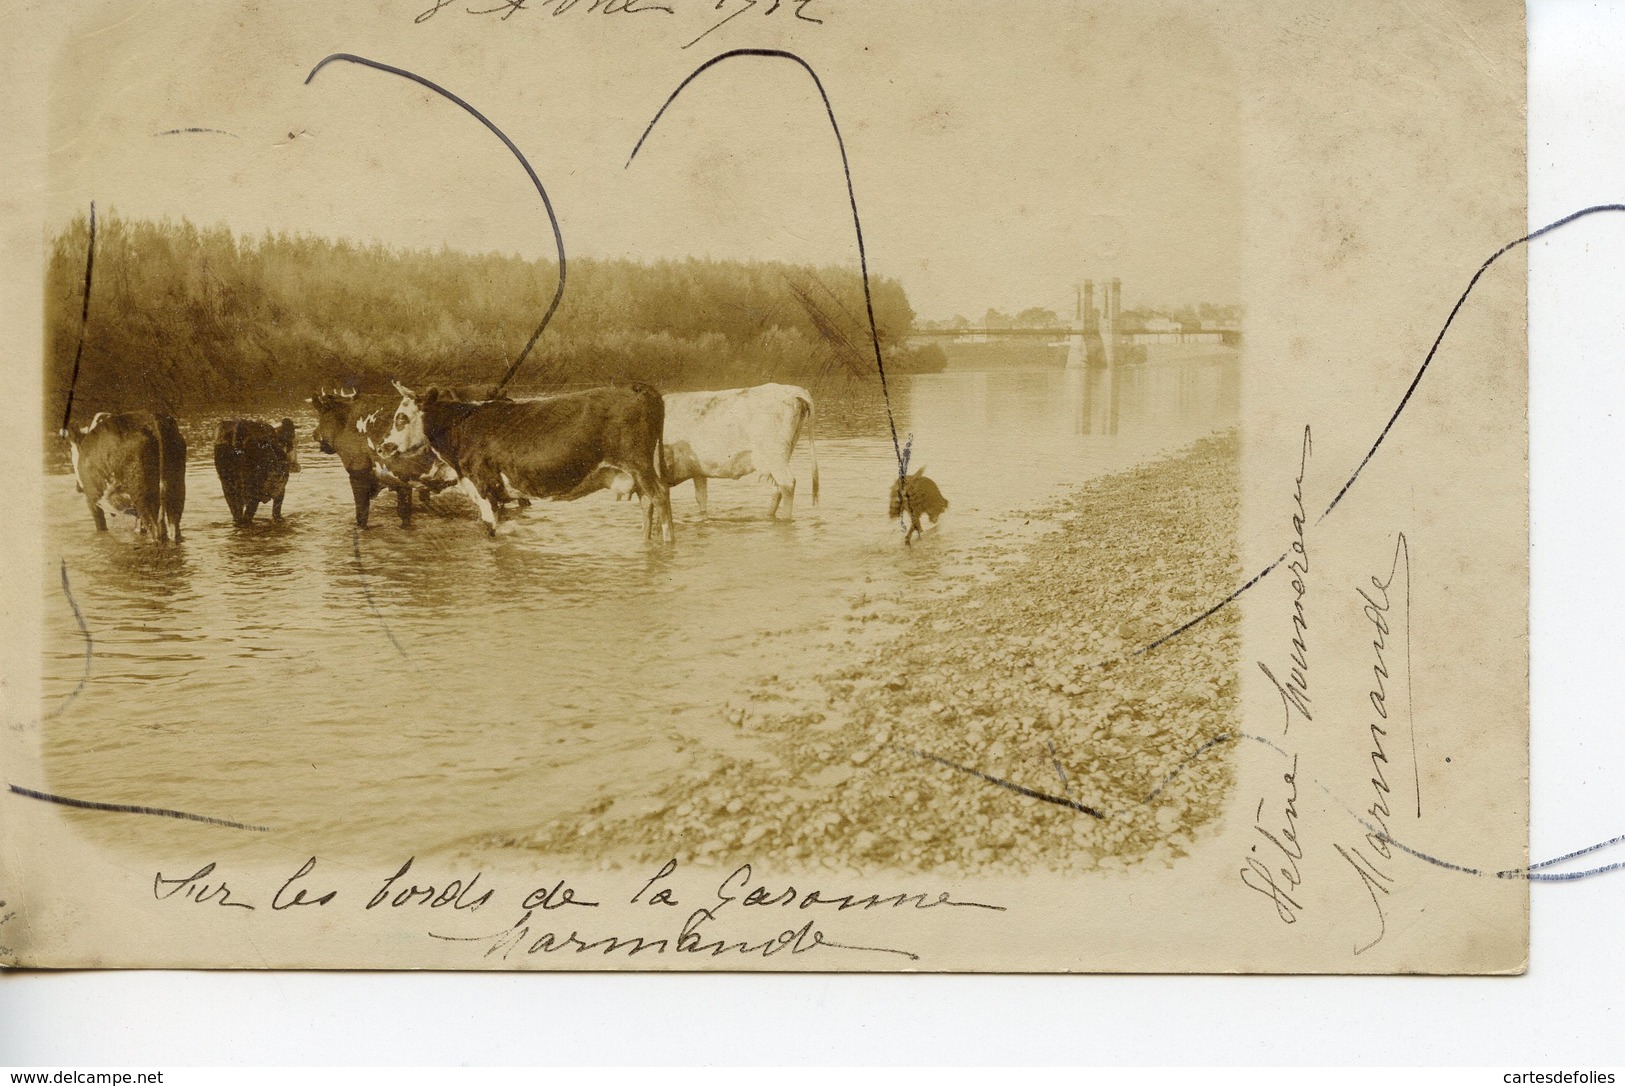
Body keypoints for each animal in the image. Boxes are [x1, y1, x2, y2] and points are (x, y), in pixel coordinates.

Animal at [62, 406, 187, 543]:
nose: (78, 488)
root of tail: (151, 420)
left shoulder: (91, 499)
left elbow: (101, 527)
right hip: (175, 488)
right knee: (174, 528)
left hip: (143, 495)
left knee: (156, 531)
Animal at [380, 380, 672, 539]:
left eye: (401, 418)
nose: (383, 447)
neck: (462, 426)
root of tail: (637, 387)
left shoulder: (485, 488)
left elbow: (490, 531)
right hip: (639, 471)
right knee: (648, 502)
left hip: (639, 463)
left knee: (660, 497)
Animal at [617, 383, 825, 520]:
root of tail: (791, 389)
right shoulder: (698, 470)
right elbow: (701, 498)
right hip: (780, 456)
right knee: (777, 488)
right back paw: (768, 516)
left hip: (774, 455)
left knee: (787, 484)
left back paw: (785, 519)